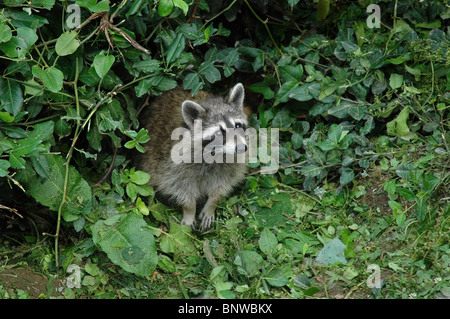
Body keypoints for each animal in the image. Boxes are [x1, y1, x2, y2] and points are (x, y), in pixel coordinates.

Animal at [136, 84, 250, 231]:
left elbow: (223, 184)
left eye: (238, 125)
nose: (241, 148)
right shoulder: (171, 164)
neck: (217, 153)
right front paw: (189, 210)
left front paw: (212, 203)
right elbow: (179, 186)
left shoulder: (231, 164)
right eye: (219, 133)